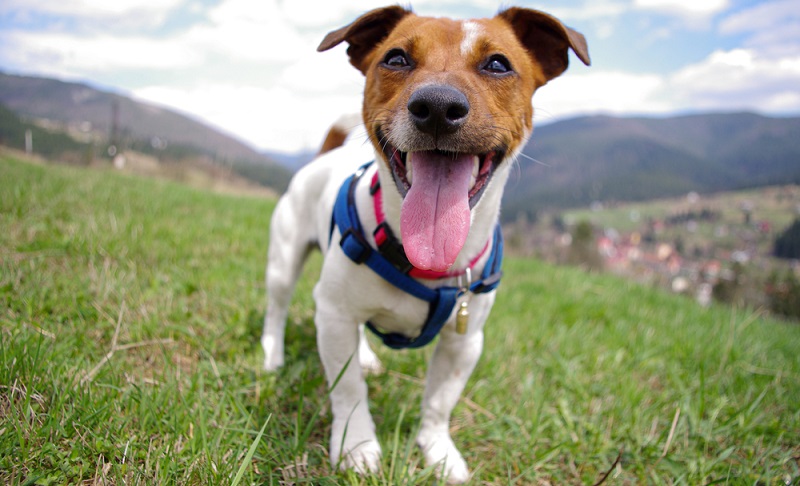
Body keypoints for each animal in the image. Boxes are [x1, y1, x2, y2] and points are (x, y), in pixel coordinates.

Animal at [262, 5, 588, 484]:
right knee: (278, 308)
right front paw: (357, 445)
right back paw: (272, 354)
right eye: (396, 58)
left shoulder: (464, 340)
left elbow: (439, 402)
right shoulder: (335, 314)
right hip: (284, 261)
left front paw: (438, 450)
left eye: (498, 64)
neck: (423, 262)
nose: (436, 106)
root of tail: (324, 157)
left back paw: (365, 357)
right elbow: (348, 389)